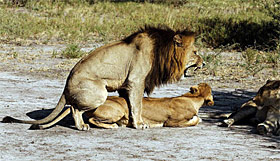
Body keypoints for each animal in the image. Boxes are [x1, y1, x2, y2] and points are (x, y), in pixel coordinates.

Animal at [1, 25, 197, 130]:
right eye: (195, 52)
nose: (202, 63)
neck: (162, 51)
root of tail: (65, 85)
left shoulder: (126, 85)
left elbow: (129, 104)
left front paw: (130, 121)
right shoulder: (136, 81)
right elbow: (137, 105)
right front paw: (139, 124)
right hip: (99, 93)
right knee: (74, 108)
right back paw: (82, 126)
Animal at [84, 83, 213, 128]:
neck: (192, 98)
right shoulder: (170, 122)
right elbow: (194, 120)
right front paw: (197, 119)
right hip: (119, 111)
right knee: (91, 119)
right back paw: (113, 126)